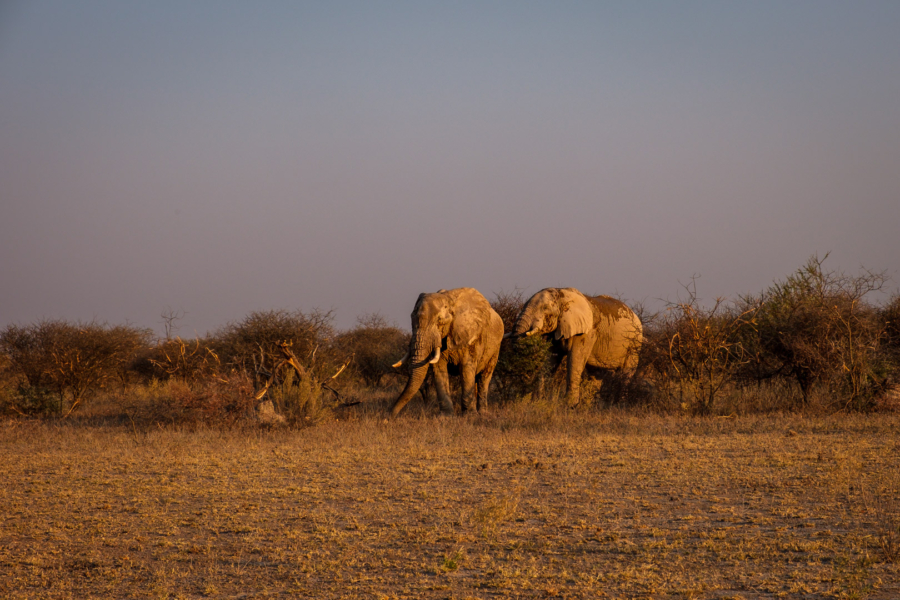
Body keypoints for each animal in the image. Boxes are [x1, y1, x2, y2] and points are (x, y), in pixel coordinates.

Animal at [510, 288, 644, 408]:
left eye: (545, 309)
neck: (562, 294)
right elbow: (550, 361)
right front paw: (536, 402)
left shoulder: (587, 333)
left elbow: (574, 360)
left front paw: (568, 405)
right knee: (595, 374)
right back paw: (587, 406)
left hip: (634, 344)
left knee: (626, 373)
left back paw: (619, 405)